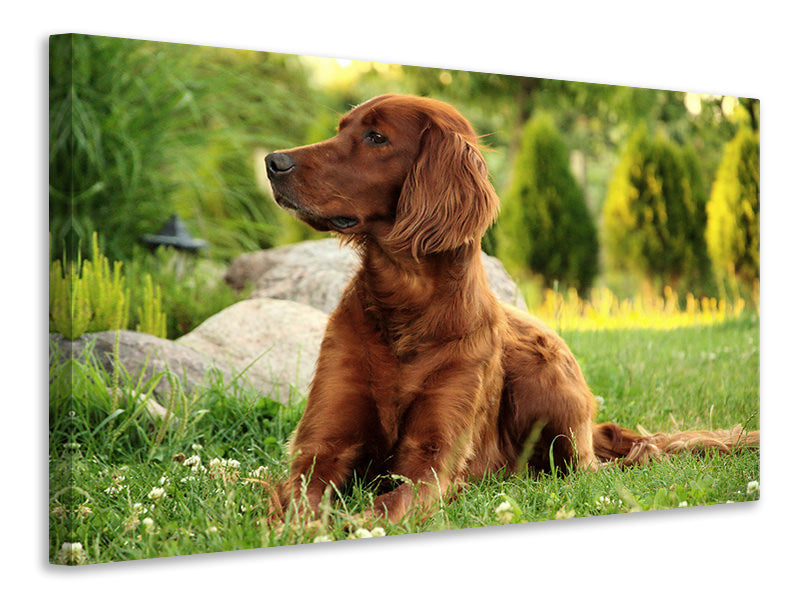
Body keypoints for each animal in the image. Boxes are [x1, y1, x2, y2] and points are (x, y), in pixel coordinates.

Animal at [266, 94, 760, 524]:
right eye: (341, 129)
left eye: (376, 137)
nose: (273, 162)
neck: (405, 305)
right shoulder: (323, 448)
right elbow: (301, 499)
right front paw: (305, 524)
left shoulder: (431, 458)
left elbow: (392, 502)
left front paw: (353, 521)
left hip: (544, 381)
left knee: (611, 462)